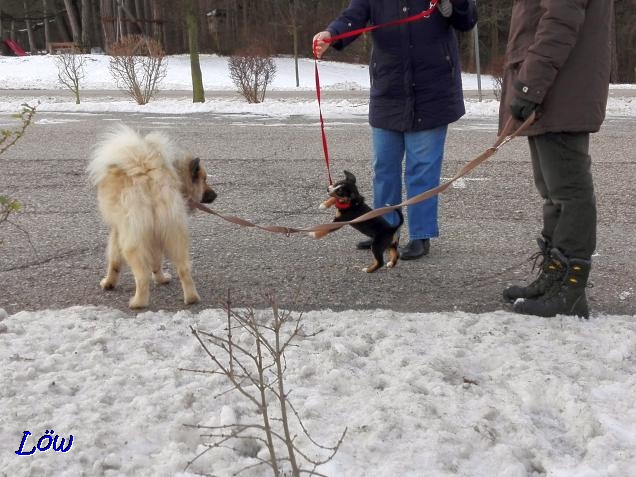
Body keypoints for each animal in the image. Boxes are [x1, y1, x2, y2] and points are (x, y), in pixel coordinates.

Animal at [87, 124, 217, 306]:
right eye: (204, 180)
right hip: (174, 233)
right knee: (183, 268)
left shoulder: (117, 230)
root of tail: (149, 176)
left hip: (133, 239)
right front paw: (161, 279)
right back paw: (191, 298)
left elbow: (114, 260)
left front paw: (108, 283)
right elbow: (156, 261)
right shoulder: (155, 236)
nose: (215, 195)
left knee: (142, 276)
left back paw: (138, 303)